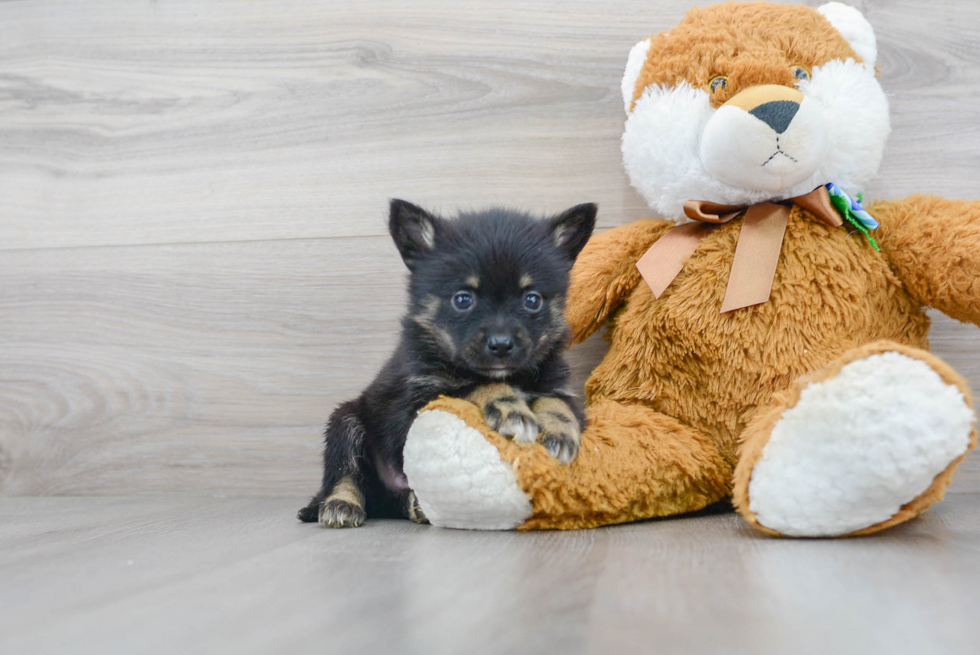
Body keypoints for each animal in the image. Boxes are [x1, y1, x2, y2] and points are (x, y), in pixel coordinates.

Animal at [294, 199, 592, 528]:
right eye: (463, 300)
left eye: (532, 300)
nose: (501, 345)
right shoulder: (415, 403)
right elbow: (475, 384)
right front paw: (510, 407)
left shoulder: (560, 388)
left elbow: (556, 403)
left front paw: (562, 431)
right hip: (345, 421)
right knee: (344, 472)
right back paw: (341, 504)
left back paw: (416, 506)